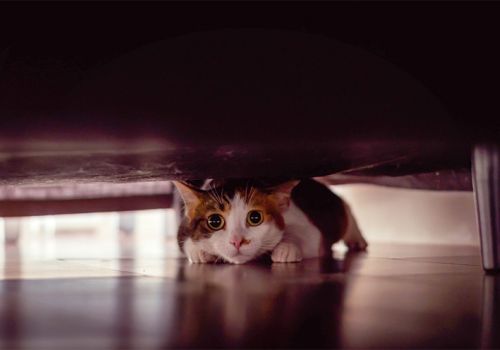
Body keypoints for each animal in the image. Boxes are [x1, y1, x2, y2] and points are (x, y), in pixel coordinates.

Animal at [173, 179, 368, 264]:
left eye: (255, 218)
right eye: (214, 221)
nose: (237, 241)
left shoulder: (305, 224)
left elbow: (307, 234)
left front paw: (285, 248)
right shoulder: (183, 226)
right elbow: (185, 240)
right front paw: (200, 252)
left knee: (346, 208)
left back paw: (357, 239)